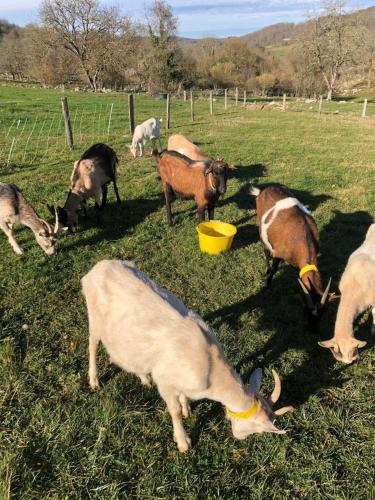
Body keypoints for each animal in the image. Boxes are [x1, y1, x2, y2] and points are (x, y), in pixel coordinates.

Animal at [82, 262, 294, 454]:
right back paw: (94, 380)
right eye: (257, 428)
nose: (239, 437)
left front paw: (187, 409)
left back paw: (143, 378)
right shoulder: (165, 382)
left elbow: (183, 397)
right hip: (94, 319)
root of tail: (95, 269)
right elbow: (174, 411)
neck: (210, 369)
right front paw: (183, 442)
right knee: (92, 345)